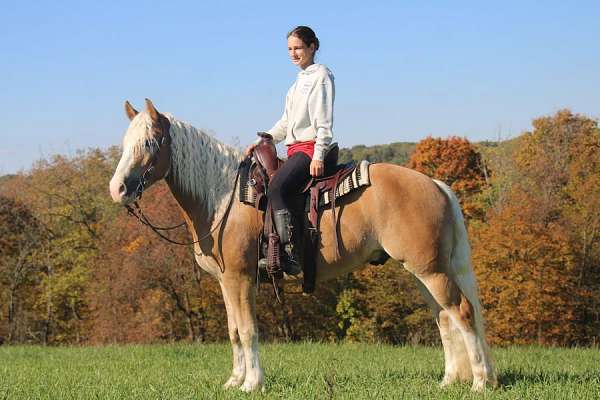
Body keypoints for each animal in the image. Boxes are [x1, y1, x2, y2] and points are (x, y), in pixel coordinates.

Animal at [108, 98, 496, 392]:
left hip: (431, 271)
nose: (118, 189)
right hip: (423, 272)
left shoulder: (241, 279)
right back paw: (450, 380)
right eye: (125, 143)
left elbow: (247, 330)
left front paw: (252, 384)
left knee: (462, 312)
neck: (224, 197)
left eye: (149, 143)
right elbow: (233, 331)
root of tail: (435, 184)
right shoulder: (225, 282)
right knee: (444, 318)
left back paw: (480, 382)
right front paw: (234, 381)